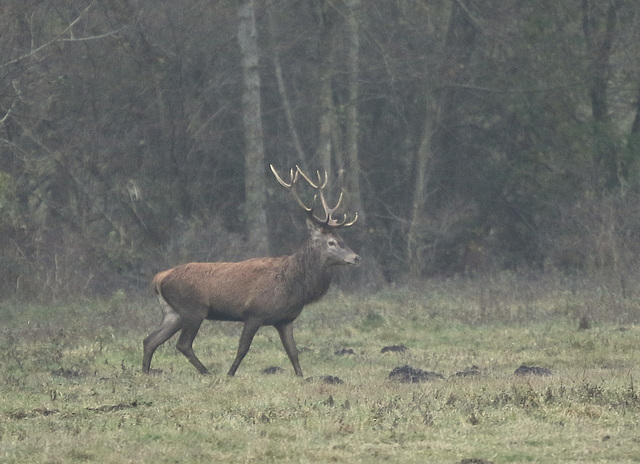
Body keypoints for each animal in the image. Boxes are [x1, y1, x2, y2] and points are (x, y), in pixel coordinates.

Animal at [142, 165, 360, 376]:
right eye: (332, 242)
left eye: (342, 239)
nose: (356, 257)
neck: (293, 284)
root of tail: (159, 278)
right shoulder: (254, 313)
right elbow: (243, 349)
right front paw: (230, 374)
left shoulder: (285, 320)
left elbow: (293, 352)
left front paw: (301, 377)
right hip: (193, 309)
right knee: (183, 344)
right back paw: (206, 372)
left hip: (173, 313)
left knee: (150, 340)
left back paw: (145, 372)